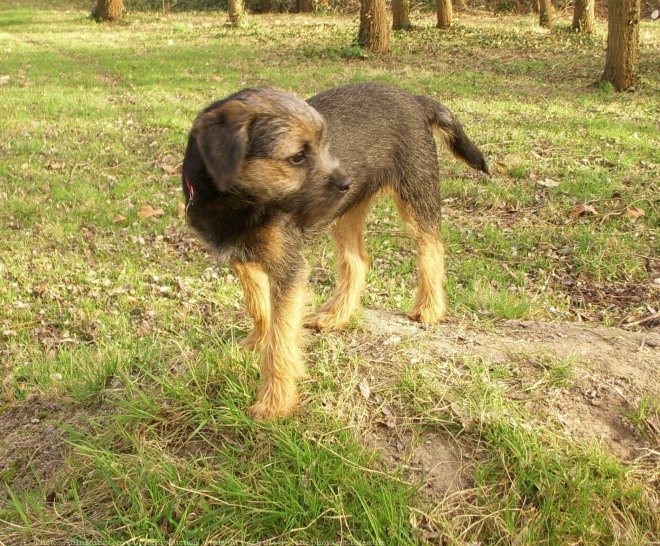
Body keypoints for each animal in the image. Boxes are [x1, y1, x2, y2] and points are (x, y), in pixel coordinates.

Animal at [183, 83, 488, 418]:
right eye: (297, 157)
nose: (345, 181)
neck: (234, 204)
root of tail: (414, 99)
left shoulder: (288, 270)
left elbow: (281, 337)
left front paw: (274, 401)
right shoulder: (242, 258)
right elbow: (259, 306)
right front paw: (257, 343)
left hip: (416, 191)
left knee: (431, 248)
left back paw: (430, 308)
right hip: (347, 212)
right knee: (358, 261)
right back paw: (337, 315)